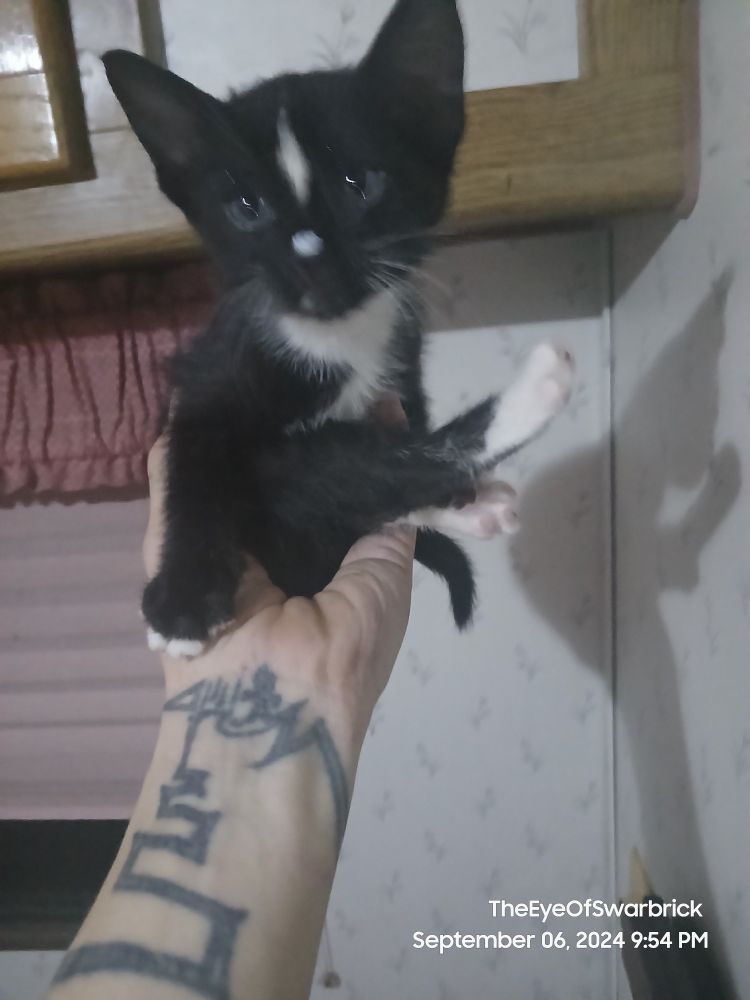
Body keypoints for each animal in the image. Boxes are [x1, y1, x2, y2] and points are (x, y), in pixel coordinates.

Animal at [103, 0, 573, 657]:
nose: (309, 253)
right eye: (246, 208)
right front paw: (184, 600)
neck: (333, 342)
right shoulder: (209, 378)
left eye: (362, 185)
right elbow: (195, 473)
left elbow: (376, 463)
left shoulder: (403, 376)